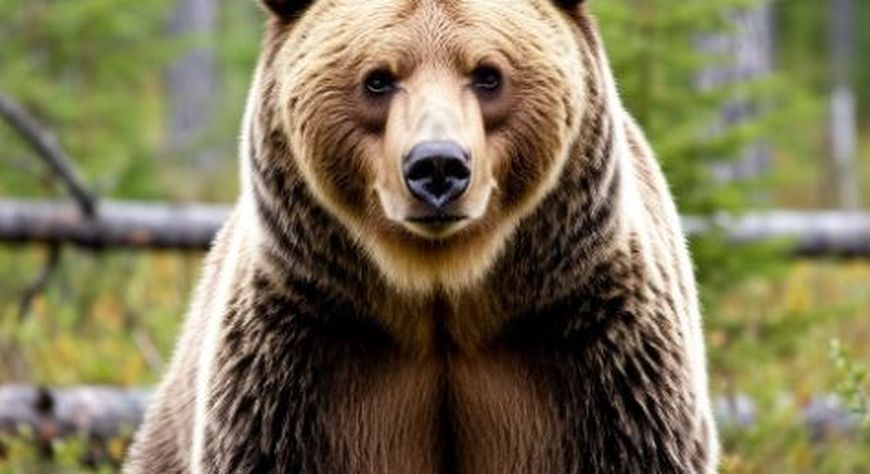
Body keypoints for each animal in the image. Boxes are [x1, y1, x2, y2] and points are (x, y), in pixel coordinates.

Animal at [125, 0, 719, 472]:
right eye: (378, 79)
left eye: (488, 74)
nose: (437, 166)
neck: (442, 293)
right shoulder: (303, 362)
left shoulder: (592, 354)